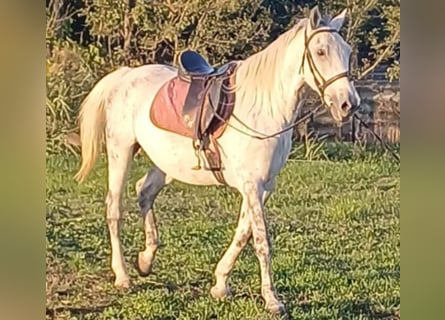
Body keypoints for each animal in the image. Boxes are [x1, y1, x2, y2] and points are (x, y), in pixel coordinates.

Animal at [73, 6, 358, 314]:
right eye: (320, 51)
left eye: (347, 51)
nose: (348, 104)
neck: (264, 108)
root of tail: (125, 76)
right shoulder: (252, 186)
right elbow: (261, 241)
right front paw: (272, 300)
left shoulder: (263, 187)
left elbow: (243, 234)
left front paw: (221, 284)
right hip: (121, 152)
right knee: (115, 208)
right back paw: (123, 276)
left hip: (165, 164)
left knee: (144, 192)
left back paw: (146, 261)